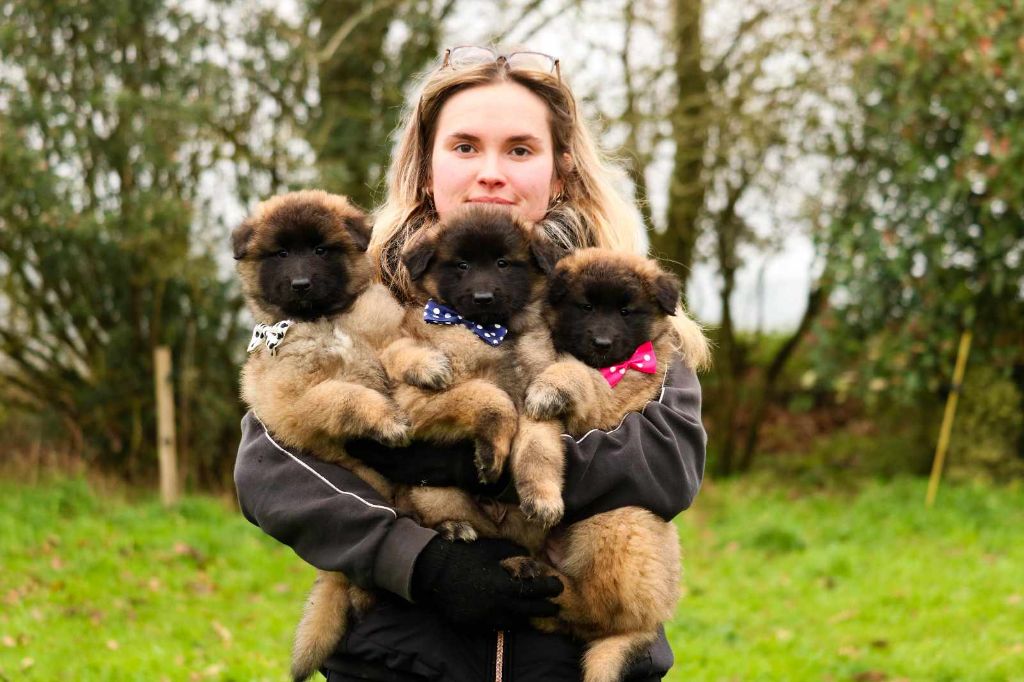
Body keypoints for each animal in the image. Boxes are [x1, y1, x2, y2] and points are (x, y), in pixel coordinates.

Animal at [233, 189, 407, 679]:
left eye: (320, 250)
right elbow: (346, 395)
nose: (300, 284)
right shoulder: (299, 399)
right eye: (280, 254)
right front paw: (385, 419)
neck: (324, 323)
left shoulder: (386, 336)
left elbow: (402, 353)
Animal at [516, 246, 684, 679]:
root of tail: (648, 624)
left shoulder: (610, 397)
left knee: (599, 611)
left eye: (626, 311)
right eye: (586, 306)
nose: (603, 343)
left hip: (618, 520)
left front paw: (551, 385)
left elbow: (578, 374)